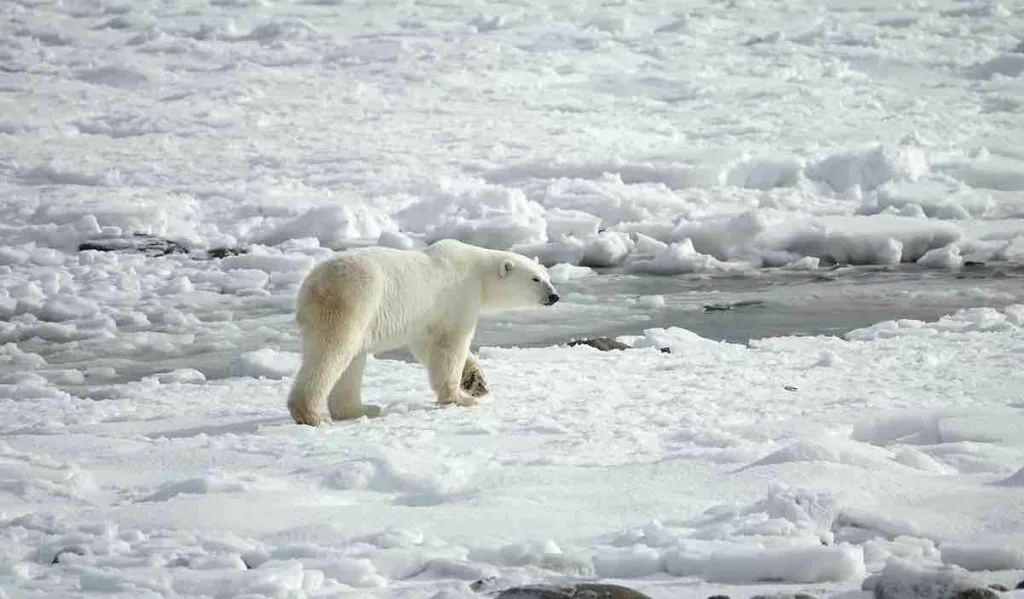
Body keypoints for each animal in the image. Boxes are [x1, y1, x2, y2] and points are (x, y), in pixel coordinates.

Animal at [286, 238, 561, 425]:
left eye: (547, 276)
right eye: (535, 279)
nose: (554, 296)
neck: (478, 272)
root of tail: (312, 286)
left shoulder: (426, 317)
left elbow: (427, 346)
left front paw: (476, 382)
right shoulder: (458, 296)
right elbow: (450, 346)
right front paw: (461, 398)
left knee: (351, 360)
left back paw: (363, 409)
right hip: (353, 302)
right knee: (332, 353)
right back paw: (311, 415)